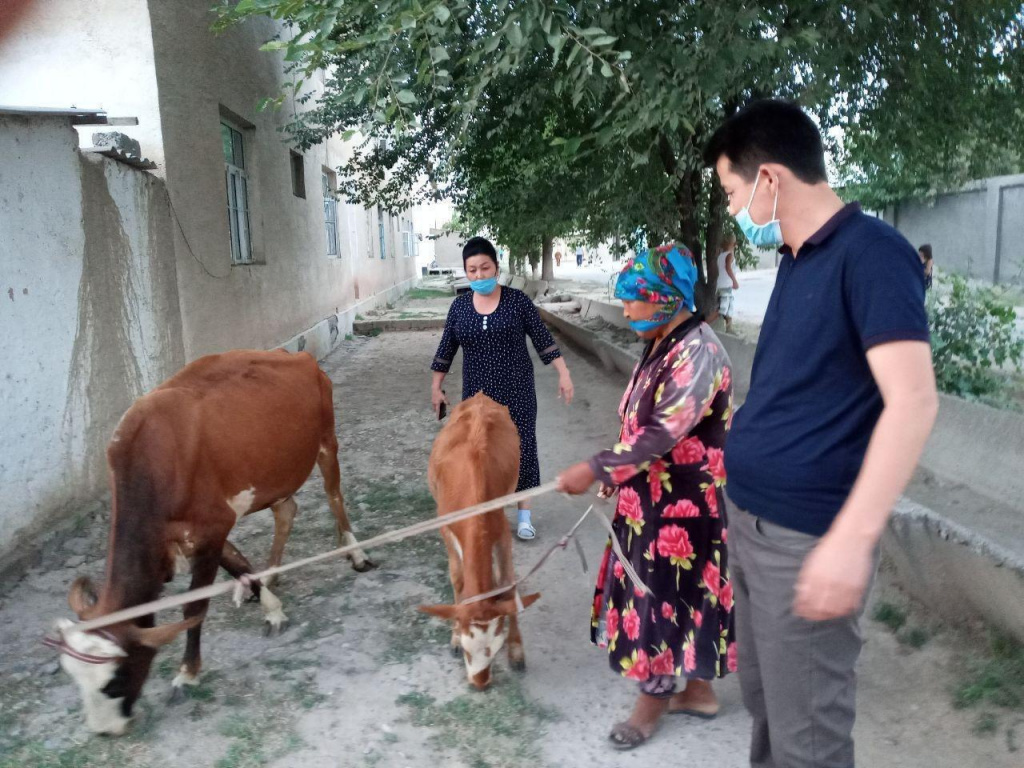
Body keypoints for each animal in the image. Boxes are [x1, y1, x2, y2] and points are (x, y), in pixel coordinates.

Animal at [57, 348, 372, 733]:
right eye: (73, 677)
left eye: (114, 682)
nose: (104, 731)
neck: (154, 463)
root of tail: (296, 354)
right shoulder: (201, 531)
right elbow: (236, 562)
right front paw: (270, 604)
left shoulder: (212, 524)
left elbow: (194, 607)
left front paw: (187, 674)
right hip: (273, 475)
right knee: (287, 510)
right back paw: (273, 574)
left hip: (327, 441)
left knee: (334, 496)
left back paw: (356, 553)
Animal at [419, 393, 540, 688]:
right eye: (465, 649)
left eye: (495, 650)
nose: (481, 683)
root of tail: (481, 396)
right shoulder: (446, 528)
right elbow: (458, 580)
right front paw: (452, 636)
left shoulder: (501, 532)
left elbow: (508, 584)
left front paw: (517, 651)